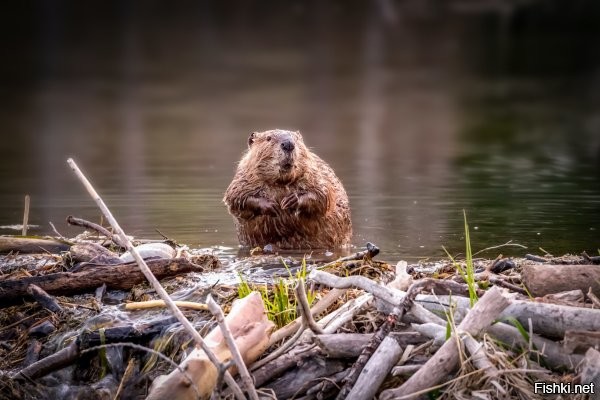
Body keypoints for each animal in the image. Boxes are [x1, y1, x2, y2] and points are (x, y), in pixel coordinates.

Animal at [224, 130, 352, 250]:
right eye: (268, 138)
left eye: (296, 138)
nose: (288, 144)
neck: (281, 182)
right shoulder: (243, 177)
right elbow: (235, 197)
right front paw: (272, 206)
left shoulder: (315, 172)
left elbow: (323, 194)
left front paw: (291, 201)